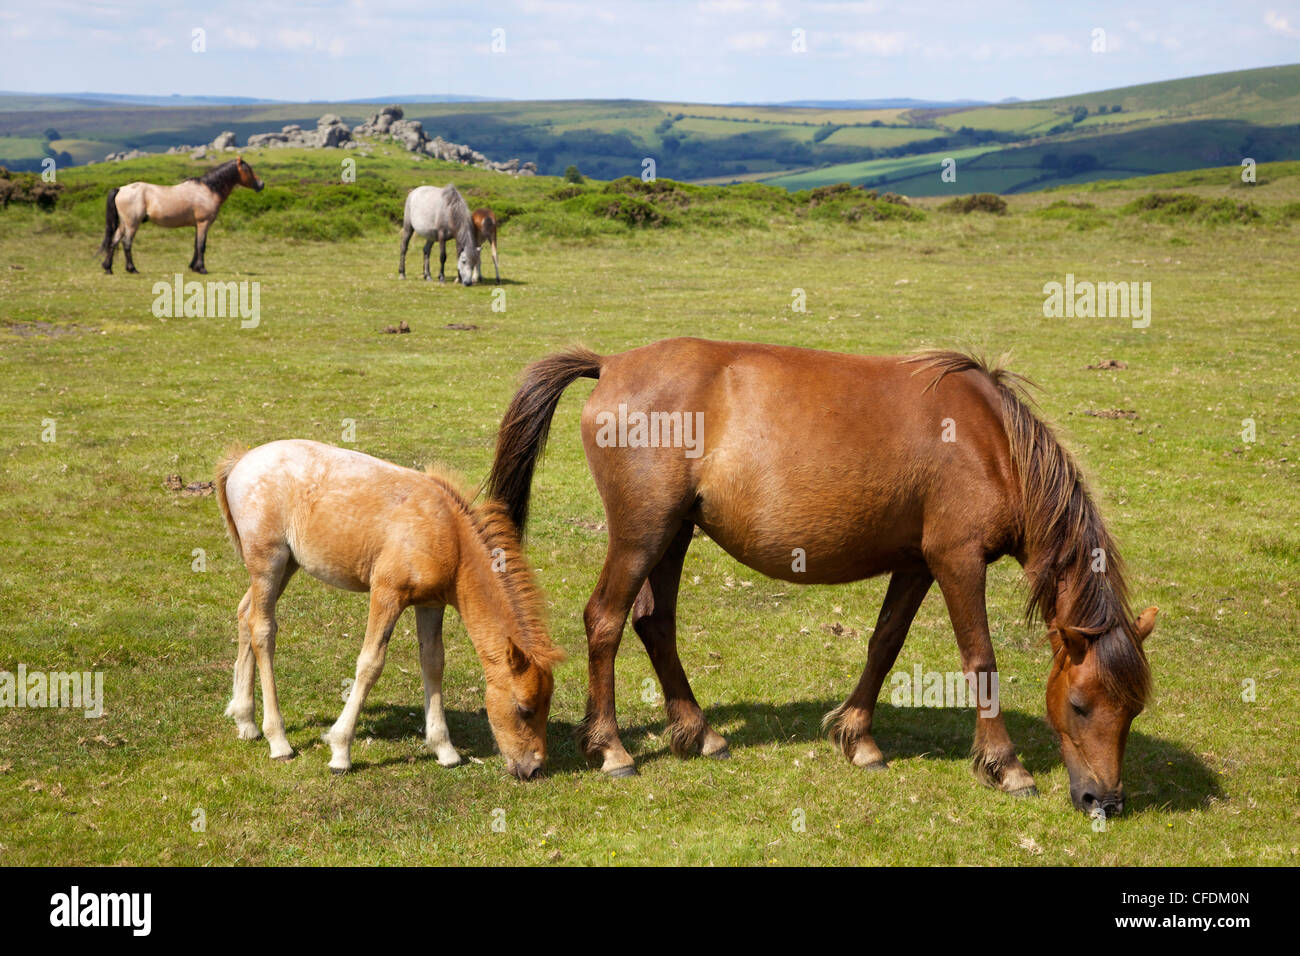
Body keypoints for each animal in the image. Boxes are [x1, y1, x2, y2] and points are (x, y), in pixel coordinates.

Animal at [100, 156, 264, 275]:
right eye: (248, 169)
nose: (261, 184)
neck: (207, 190)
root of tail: (121, 189)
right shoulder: (203, 223)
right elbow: (201, 245)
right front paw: (202, 268)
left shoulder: (198, 225)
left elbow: (196, 245)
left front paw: (193, 267)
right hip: (132, 224)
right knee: (126, 243)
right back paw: (132, 269)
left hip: (123, 224)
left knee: (114, 241)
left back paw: (108, 268)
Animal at [215, 439, 562, 779]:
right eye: (525, 708)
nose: (533, 769)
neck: (448, 534)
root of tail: (241, 460)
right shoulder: (386, 593)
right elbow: (371, 664)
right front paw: (340, 751)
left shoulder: (430, 604)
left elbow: (433, 662)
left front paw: (444, 749)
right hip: (268, 561)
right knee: (263, 630)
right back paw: (278, 740)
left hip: (287, 565)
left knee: (246, 614)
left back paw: (245, 720)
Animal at [487, 337, 1158, 814]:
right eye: (1080, 706)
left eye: (1132, 710)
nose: (1105, 800)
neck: (989, 442)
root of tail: (611, 365)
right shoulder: (957, 561)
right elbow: (980, 659)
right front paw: (1005, 765)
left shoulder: (916, 565)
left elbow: (884, 644)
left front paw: (858, 738)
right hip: (642, 534)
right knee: (604, 620)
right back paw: (611, 748)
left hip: (672, 533)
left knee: (655, 622)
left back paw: (700, 733)